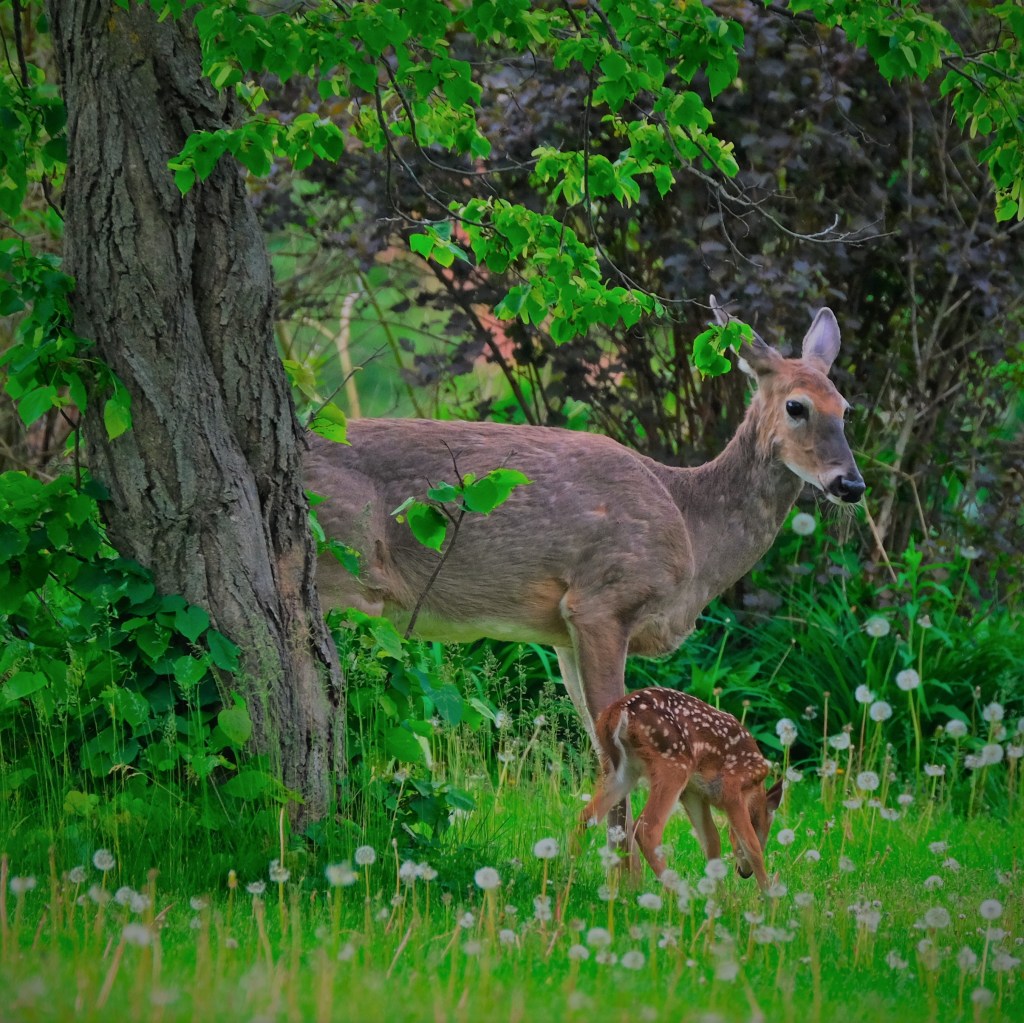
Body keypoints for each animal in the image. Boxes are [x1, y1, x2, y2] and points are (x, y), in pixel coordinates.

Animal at [303, 296, 863, 853]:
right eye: (796, 406)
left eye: (845, 410)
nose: (851, 484)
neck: (692, 529)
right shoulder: (602, 601)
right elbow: (613, 758)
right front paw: (622, 870)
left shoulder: (564, 635)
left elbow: (599, 743)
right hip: (345, 575)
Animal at [579, 687, 784, 888]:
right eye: (765, 830)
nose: (744, 873)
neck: (754, 787)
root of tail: (618, 709)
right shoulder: (732, 788)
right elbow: (751, 846)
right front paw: (769, 895)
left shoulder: (694, 793)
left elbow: (712, 841)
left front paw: (719, 896)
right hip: (674, 763)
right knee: (647, 828)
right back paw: (677, 889)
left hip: (624, 770)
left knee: (588, 814)